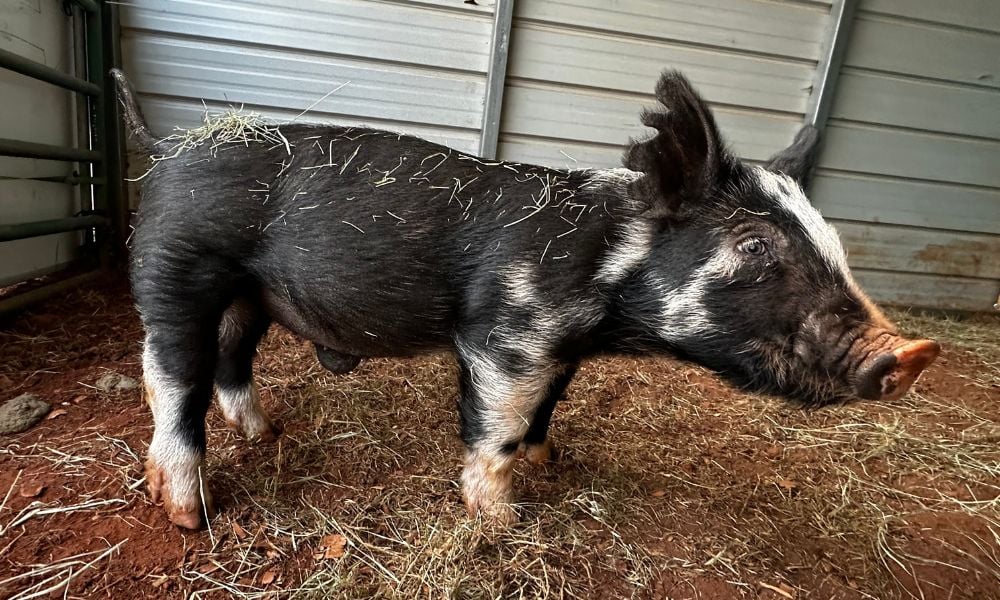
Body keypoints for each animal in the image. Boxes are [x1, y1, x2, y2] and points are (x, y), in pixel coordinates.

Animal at [112, 68, 940, 530]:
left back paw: (265, 431)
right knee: (170, 380)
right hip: (174, 269)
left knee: (231, 359)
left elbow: (549, 409)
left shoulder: (562, 348)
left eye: (832, 239)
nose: (914, 352)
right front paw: (504, 522)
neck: (606, 299)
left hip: (250, 294)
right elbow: (498, 424)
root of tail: (166, 147)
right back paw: (189, 517)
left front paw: (554, 462)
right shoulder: (507, 334)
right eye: (755, 246)